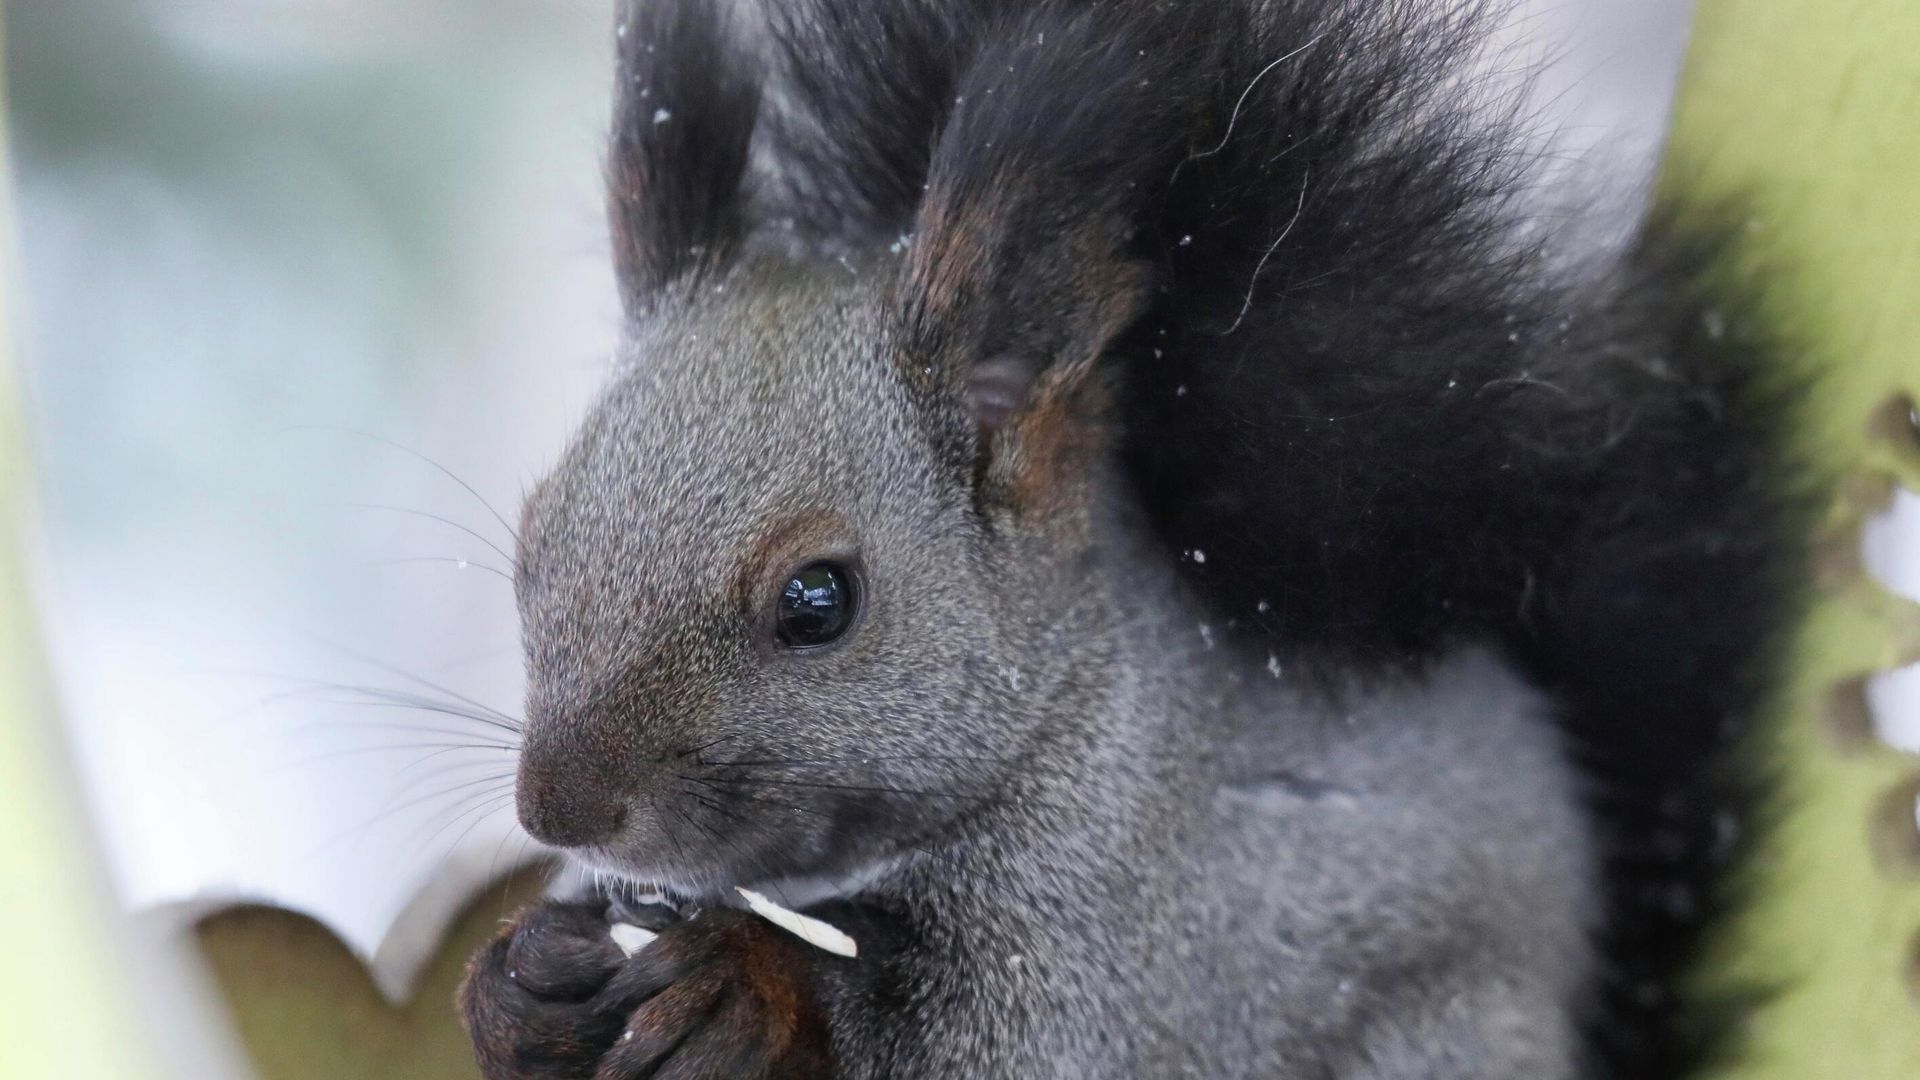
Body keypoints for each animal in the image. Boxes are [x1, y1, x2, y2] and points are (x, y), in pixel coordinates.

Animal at [457, 1, 1809, 1078]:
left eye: (818, 600)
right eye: (531, 546)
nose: (558, 808)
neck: (1073, 709)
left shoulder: (1142, 916)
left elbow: (1017, 1043)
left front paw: (748, 985)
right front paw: (514, 985)